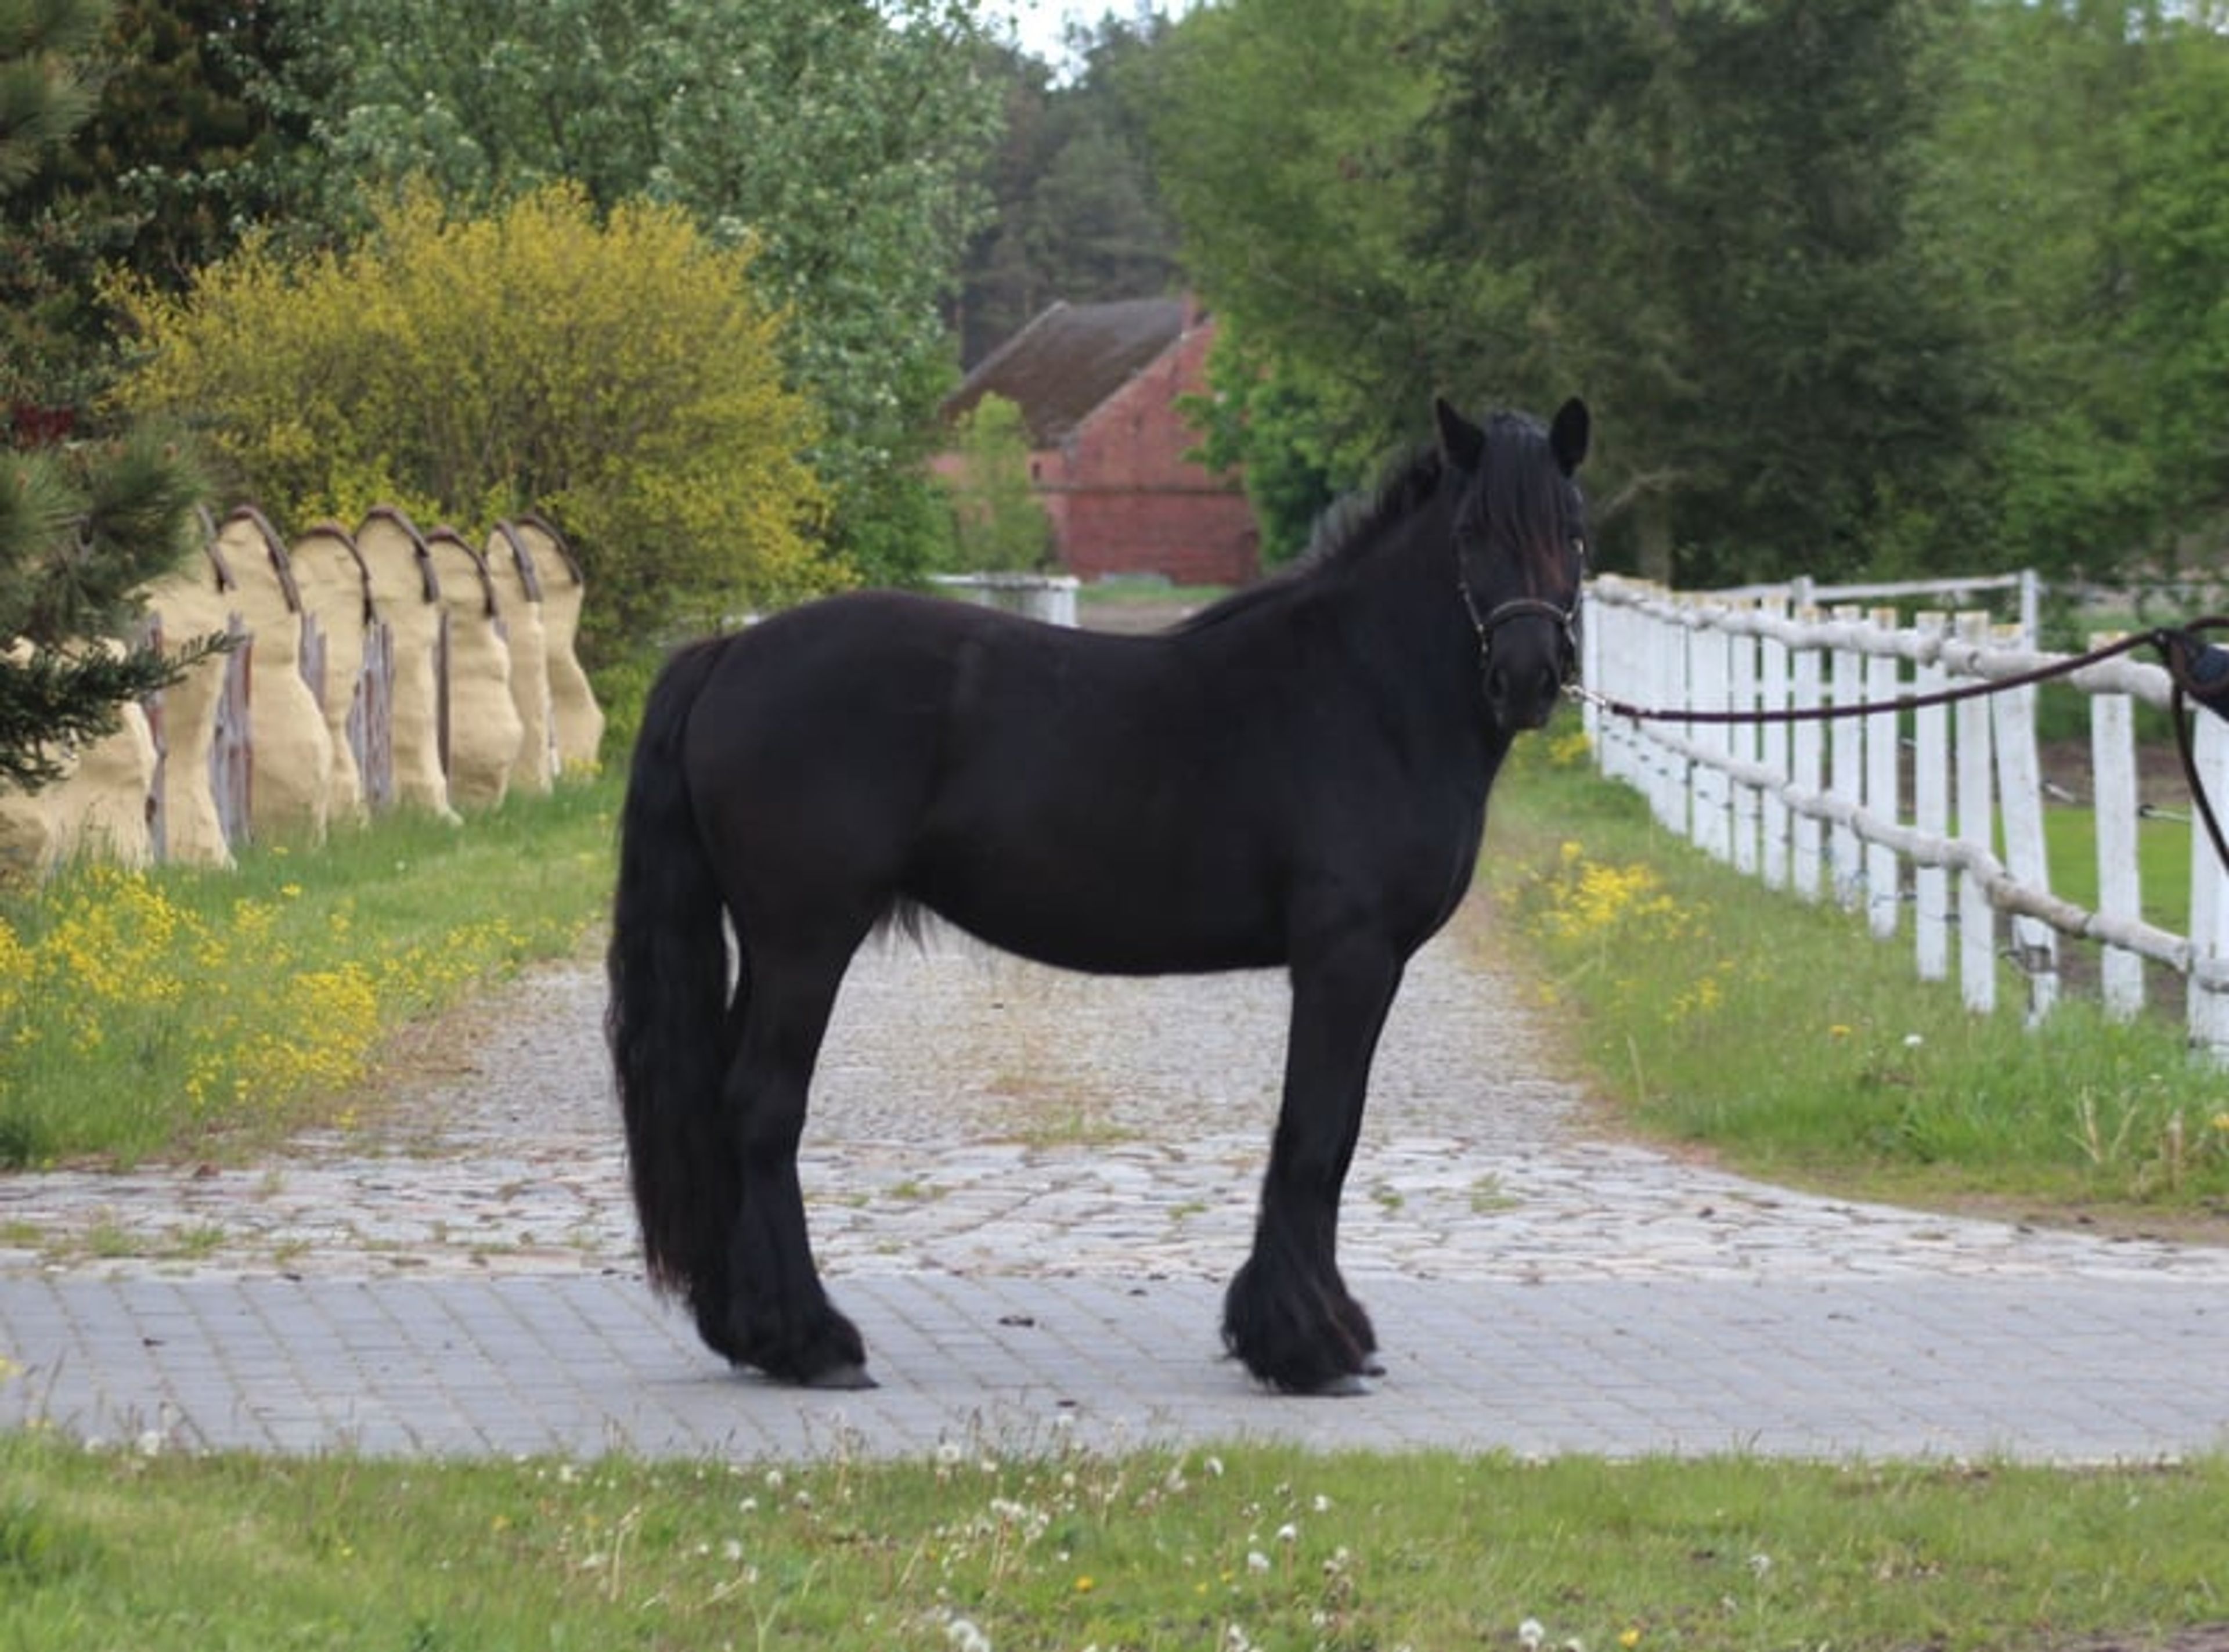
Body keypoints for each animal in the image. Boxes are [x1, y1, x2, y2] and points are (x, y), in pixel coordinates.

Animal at [607, 395, 1590, 1396]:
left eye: (1574, 531)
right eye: (1470, 533)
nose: (1528, 676)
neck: (1364, 691)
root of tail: (730, 650)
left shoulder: (1373, 967)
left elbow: (1339, 1135)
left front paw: (1324, 1329)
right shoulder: (1344, 958)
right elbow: (1313, 1134)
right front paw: (1307, 1346)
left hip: (768, 949)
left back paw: (748, 1330)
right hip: (805, 944)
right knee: (762, 1110)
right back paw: (813, 1341)